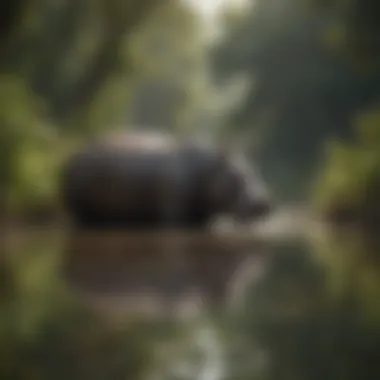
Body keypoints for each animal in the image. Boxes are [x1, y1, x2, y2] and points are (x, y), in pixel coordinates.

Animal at [60, 129, 274, 230]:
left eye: (256, 172)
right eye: (240, 176)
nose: (264, 203)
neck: (210, 168)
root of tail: (72, 156)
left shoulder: (203, 217)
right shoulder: (174, 214)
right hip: (77, 204)